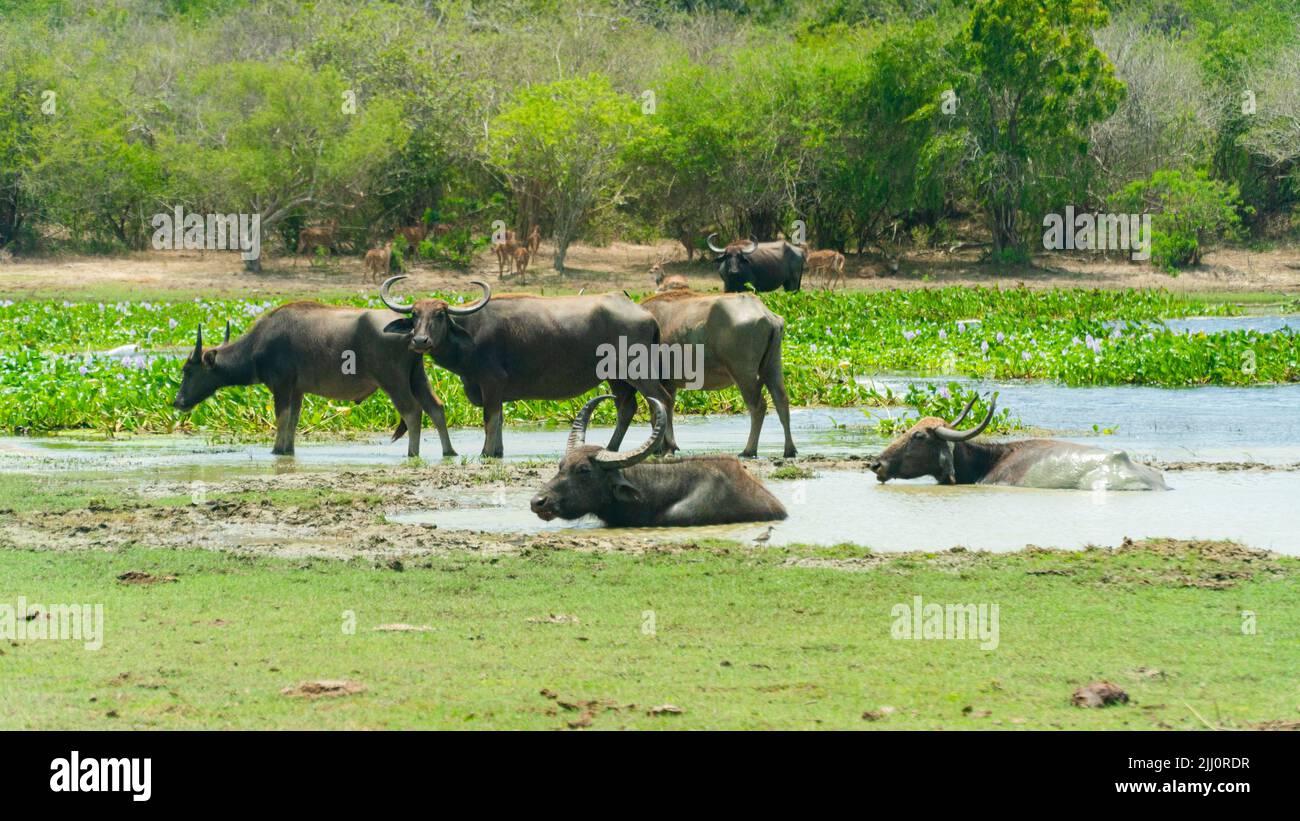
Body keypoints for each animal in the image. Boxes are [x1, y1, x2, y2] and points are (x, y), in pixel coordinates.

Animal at [173, 304, 455, 458]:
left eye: (188, 370)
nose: (178, 402)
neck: (257, 345)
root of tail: (411, 331)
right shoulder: (297, 390)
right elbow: (293, 420)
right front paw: (287, 449)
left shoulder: (281, 386)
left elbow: (281, 418)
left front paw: (276, 450)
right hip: (417, 376)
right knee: (436, 407)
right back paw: (449, 451)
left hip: (393, 380)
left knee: (412, 411)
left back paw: (412, 452)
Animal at [379, 276, 676, 457]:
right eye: (415, 314)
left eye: (440, 314)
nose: (420, 340)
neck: (470, 333)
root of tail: (645, 313)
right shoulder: (495, 390)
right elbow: (499, 419)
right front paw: (497, 451)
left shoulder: (492, 382)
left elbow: (490, 419)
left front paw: (486, 452)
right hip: (616, 377)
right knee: (627, 407)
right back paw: (613, 448)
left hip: (637, 370)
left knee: (660, 399)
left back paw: (665, 447)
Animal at [640, 289, 796, 457]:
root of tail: (766, 313)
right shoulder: (669, 383)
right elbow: (667, 411)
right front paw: (668, 446)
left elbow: (657, 412)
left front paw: (662, 448)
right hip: (772, 365)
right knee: (782, 400)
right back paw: (789, 449)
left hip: (743, 374)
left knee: (758, 406)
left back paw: (749, 450)